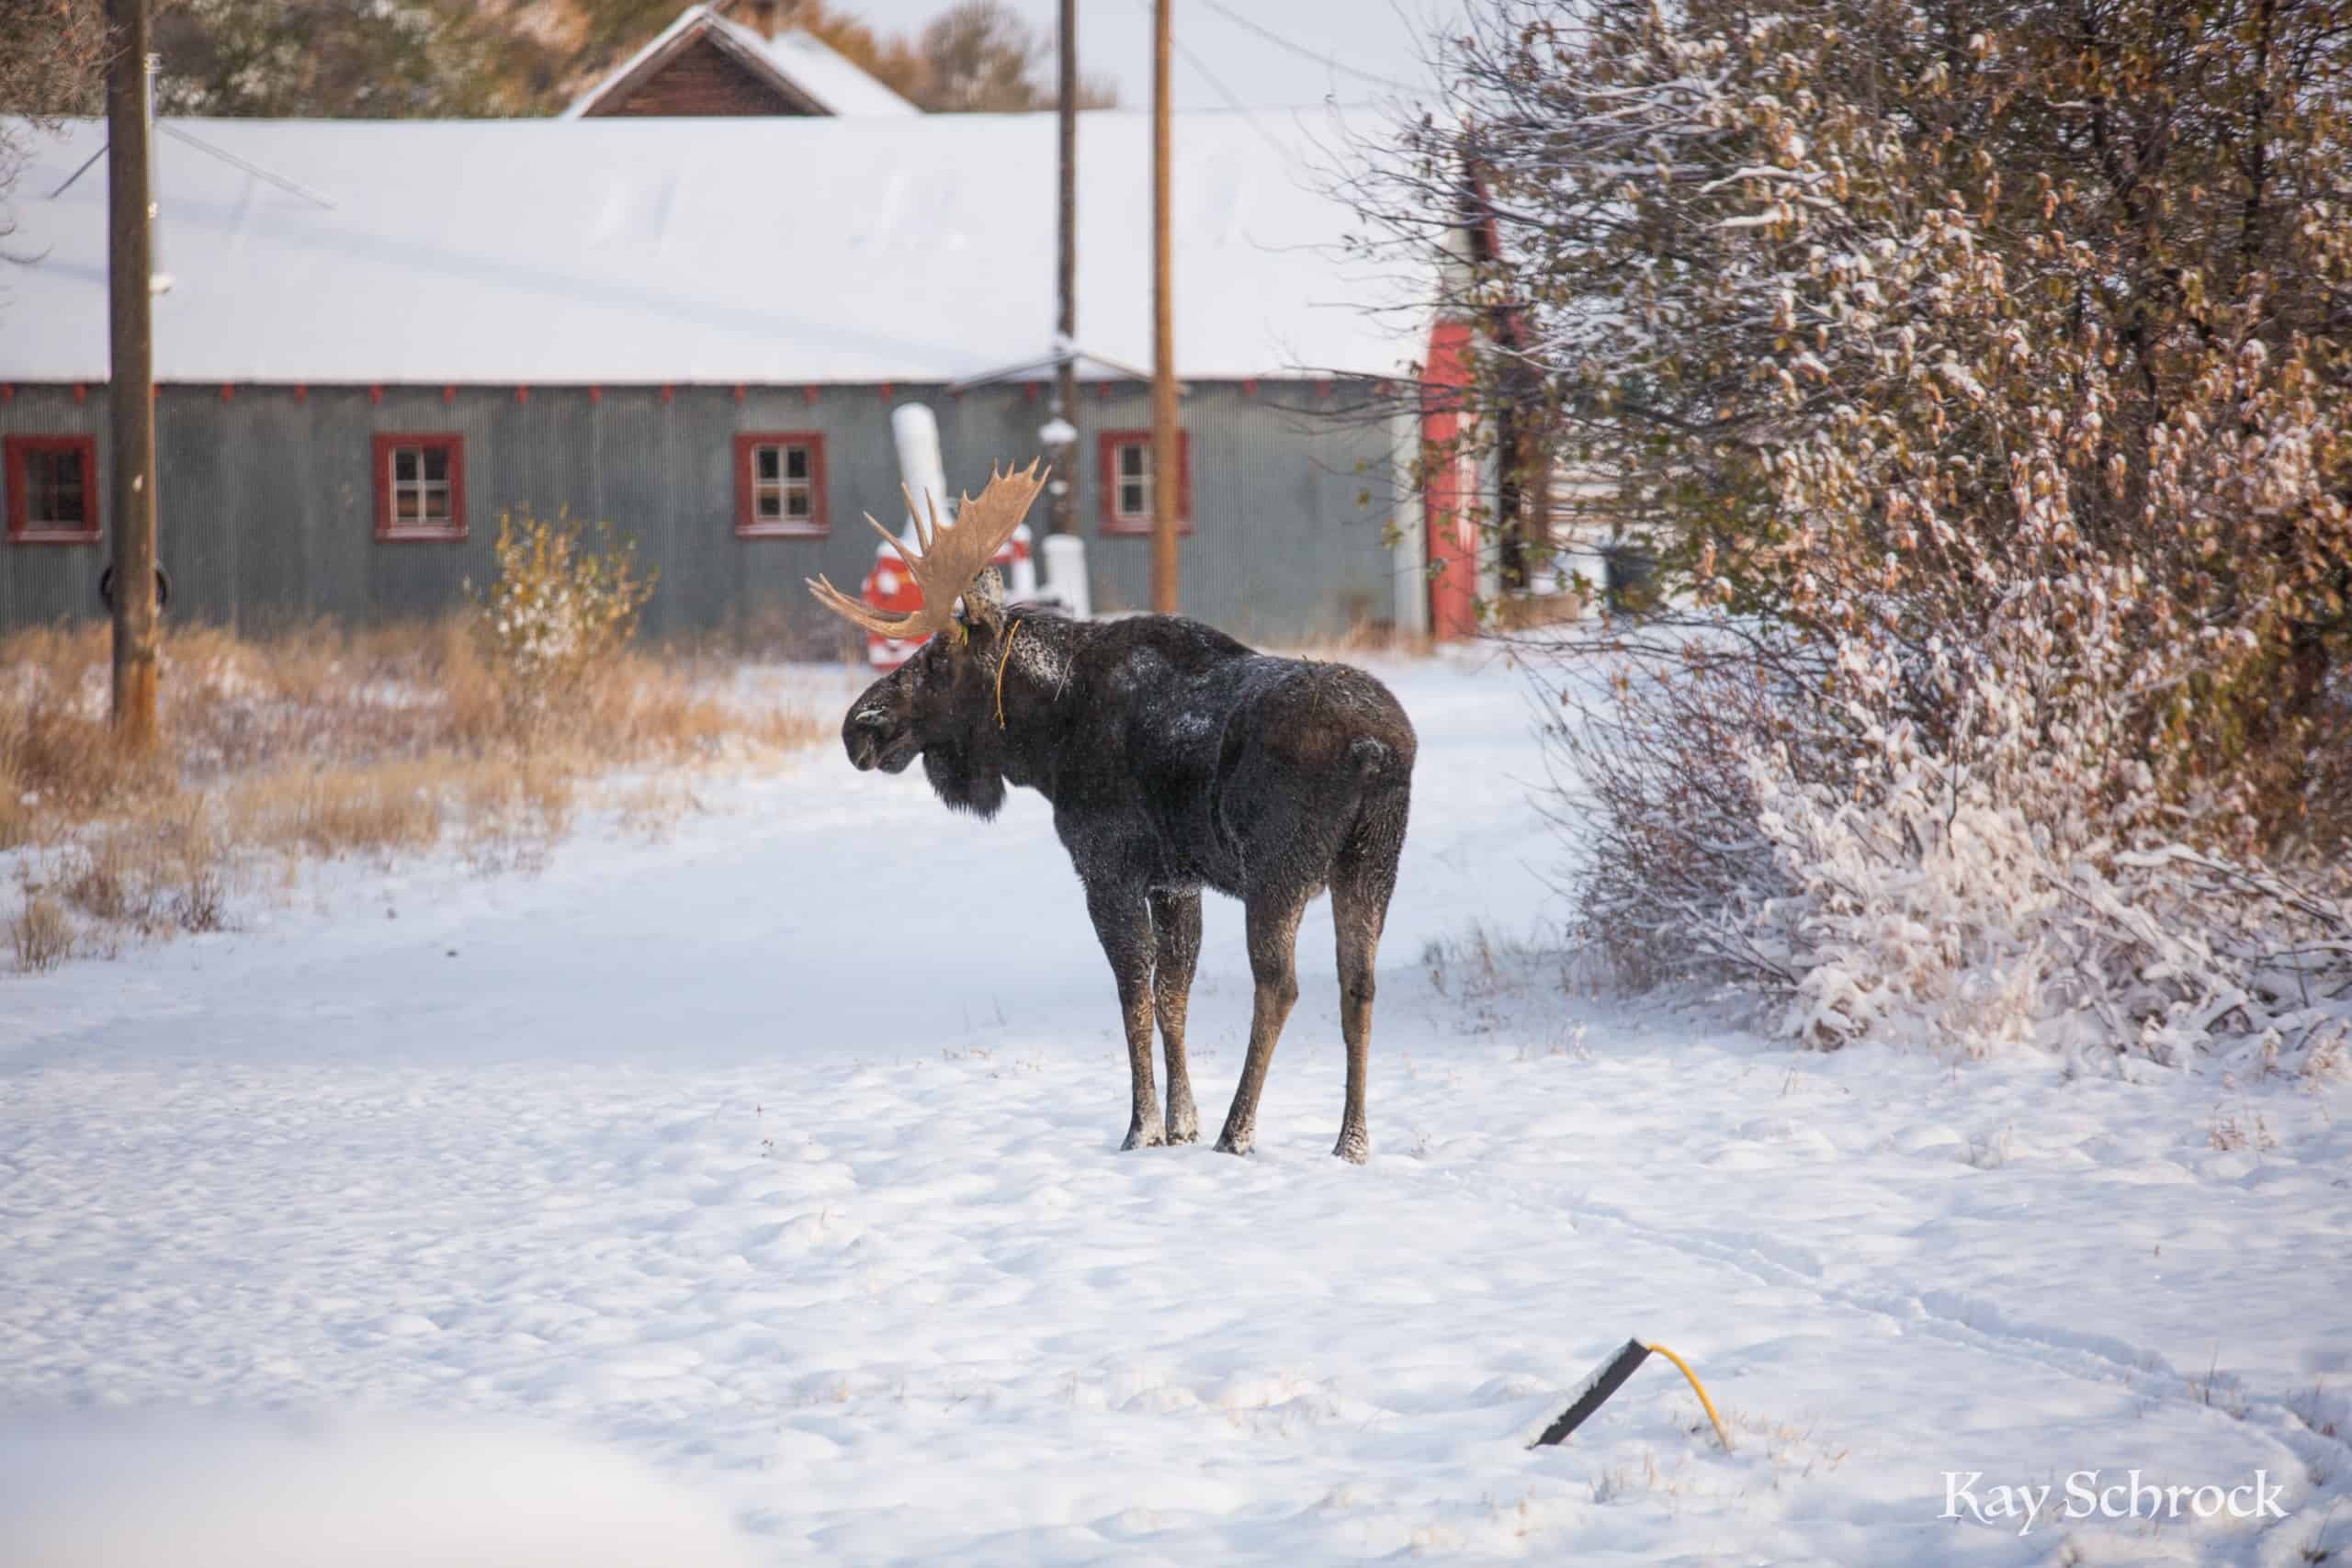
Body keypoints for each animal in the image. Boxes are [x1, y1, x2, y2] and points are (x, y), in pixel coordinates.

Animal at [809, 461, 1416, 1162]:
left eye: (936, 658)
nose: (859, 725)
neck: (1045, 738)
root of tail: (1376, 748)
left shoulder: (1108, 867)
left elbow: (1133, 996)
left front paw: (1142, 1128)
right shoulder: (1176, 880)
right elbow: (1172, 995)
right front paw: (1182, 1124)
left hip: (1277, 870)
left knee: (1280, 985)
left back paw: (1238, 1132)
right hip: (1371, 865)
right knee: (1359, 986)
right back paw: (1350, 1142)